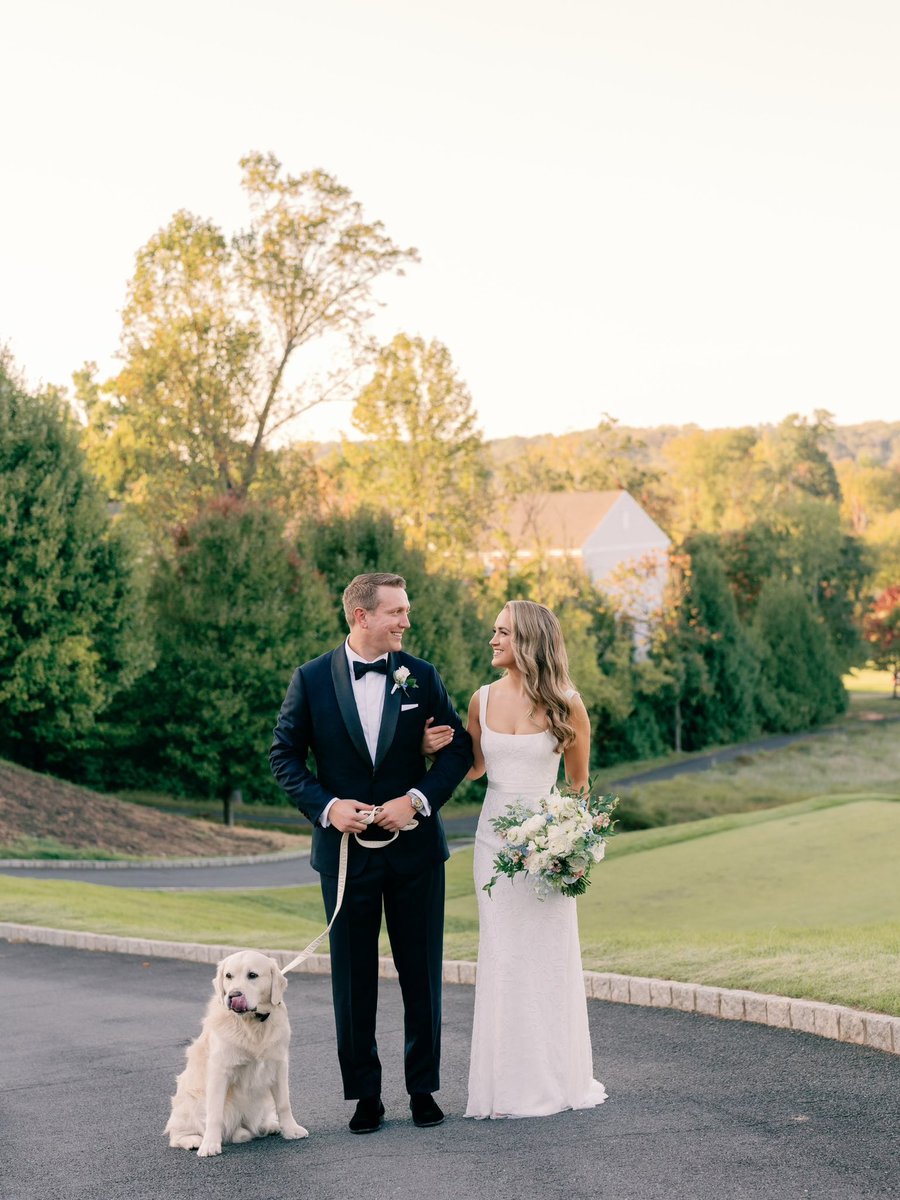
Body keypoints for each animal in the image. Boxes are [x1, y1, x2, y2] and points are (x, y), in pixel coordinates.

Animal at [165, 950, 309, 1156]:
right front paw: (210, 1145)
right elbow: (214, 1113)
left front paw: (291, 1130)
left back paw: (270, 1126)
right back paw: (193, 1140)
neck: (252, 1023)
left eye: (252, 975)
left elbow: (283, 1103)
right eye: (228, 976)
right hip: (190, 1101)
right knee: (176, 1134)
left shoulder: (279, 1065)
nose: (233, 995)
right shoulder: (220, 1070)